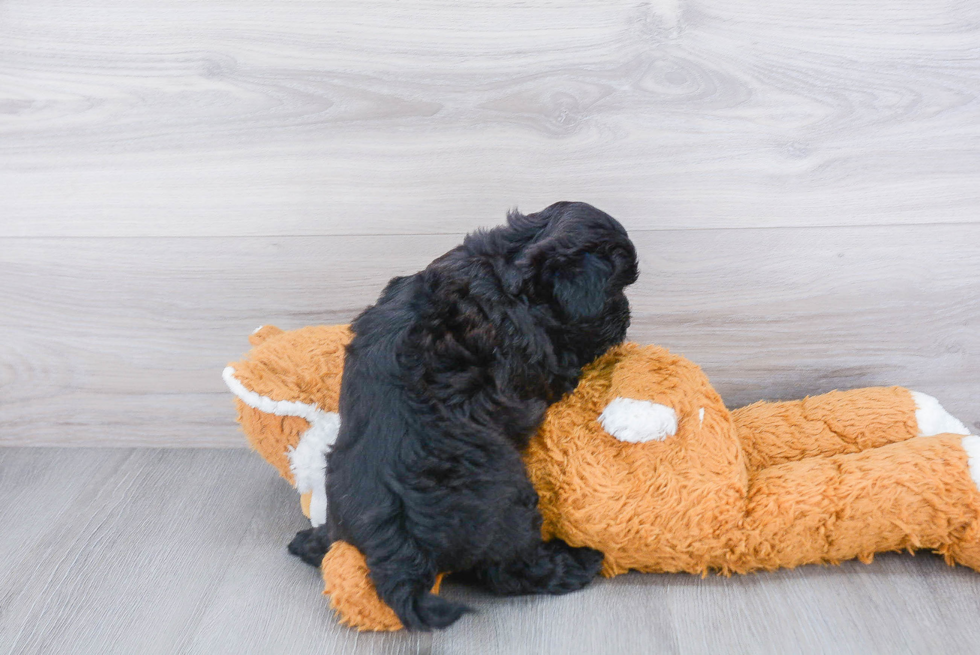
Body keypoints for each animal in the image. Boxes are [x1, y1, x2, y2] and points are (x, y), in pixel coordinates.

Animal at [290, 201, 644, 632]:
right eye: (616, 288)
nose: (626, 315)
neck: (506, 267)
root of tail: (397, 546)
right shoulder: (539, 358)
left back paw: (311, 542)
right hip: (509, 505)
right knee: (511, 571)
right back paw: (578, 563)